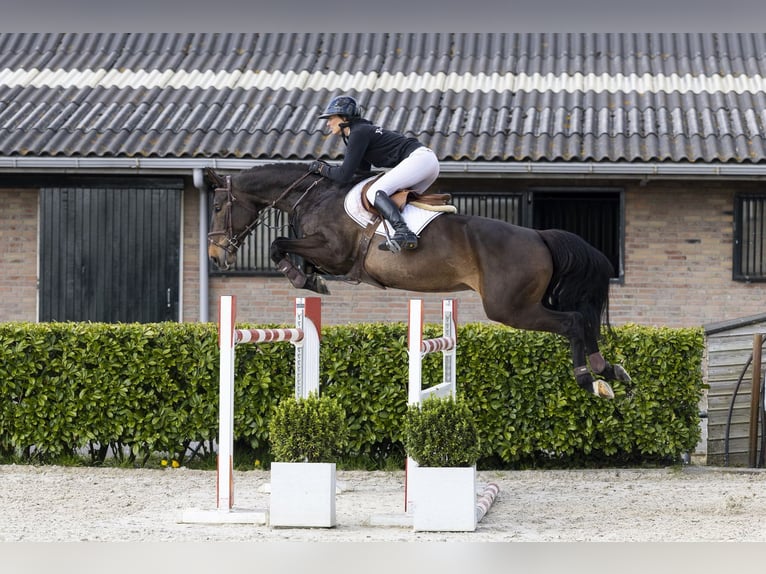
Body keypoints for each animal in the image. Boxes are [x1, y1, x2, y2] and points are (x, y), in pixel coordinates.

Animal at [205, 163, 631, 399]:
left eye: (218, 205)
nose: (214, 255)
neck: (315, 195)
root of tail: (540, 236)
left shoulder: (334, 251)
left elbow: (278, 244)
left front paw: (305, 279)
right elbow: (285, 249)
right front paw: (309, 279)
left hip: (510, 308)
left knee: (573, 322)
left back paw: (590, 380)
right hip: (522, 305)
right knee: (583, 321)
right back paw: (609, 371)